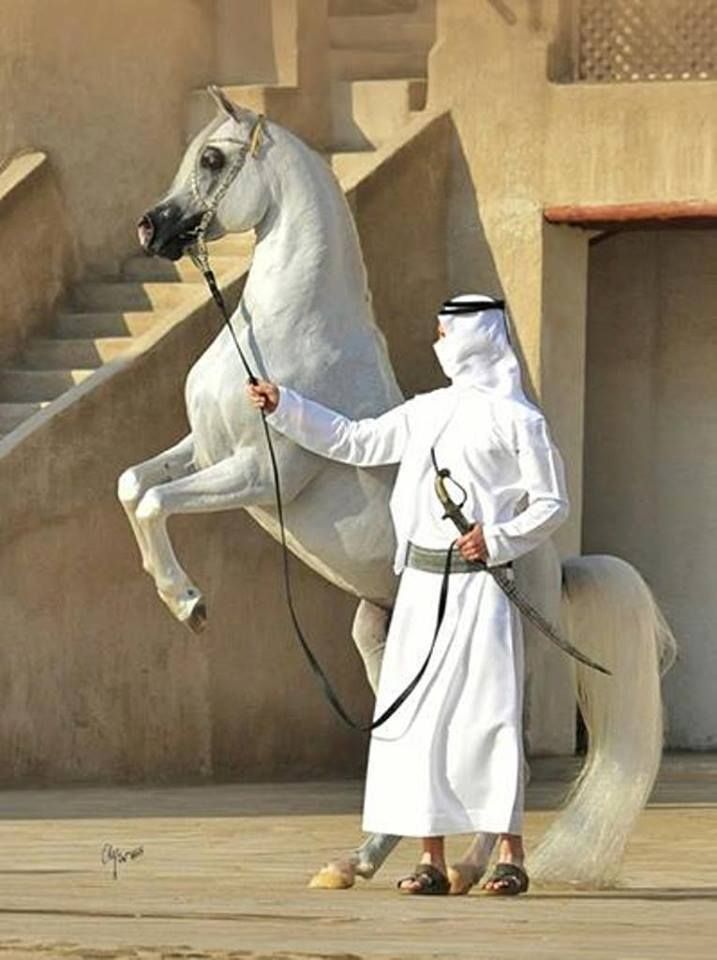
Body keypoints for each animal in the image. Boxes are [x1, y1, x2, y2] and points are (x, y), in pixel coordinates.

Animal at [116, 90, 672, 892]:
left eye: (213, 159)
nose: (151, 228)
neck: (281, 337)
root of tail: (553, 569)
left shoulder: (251, 473)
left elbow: (157, 503)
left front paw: (187, 605)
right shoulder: (203, 450)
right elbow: (134, 486)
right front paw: (177, 596)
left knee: (505, 766)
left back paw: (476, 873)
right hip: (382, 638)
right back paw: (360, 864)